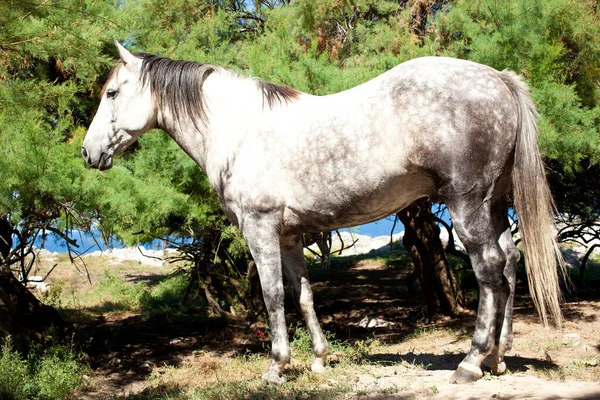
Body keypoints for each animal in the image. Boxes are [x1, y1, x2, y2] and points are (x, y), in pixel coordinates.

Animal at [82, 43, 564, 384]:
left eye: (112, 92)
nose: (88, 153)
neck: (239, 129)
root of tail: (498, 78)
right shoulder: (289, 236)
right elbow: (304, 295)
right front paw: (318, 359)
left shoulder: (260, 230)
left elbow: (273, 296)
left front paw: (277, 367)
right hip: (494, 205)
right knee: (510, 264)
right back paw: (498, 358)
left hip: (467, 205)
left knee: (489, 271)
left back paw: (471, 361)